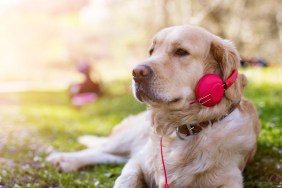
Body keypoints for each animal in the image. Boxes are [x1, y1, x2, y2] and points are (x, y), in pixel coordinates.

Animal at [46, 25, 260, 188]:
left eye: (181, 52)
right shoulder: (139, 162)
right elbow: (125, 179)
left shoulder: (228, 179)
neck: (185, 128)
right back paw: (64, 159)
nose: (136, 72)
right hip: (131, 138)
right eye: (151, 51)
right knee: (102, 148)